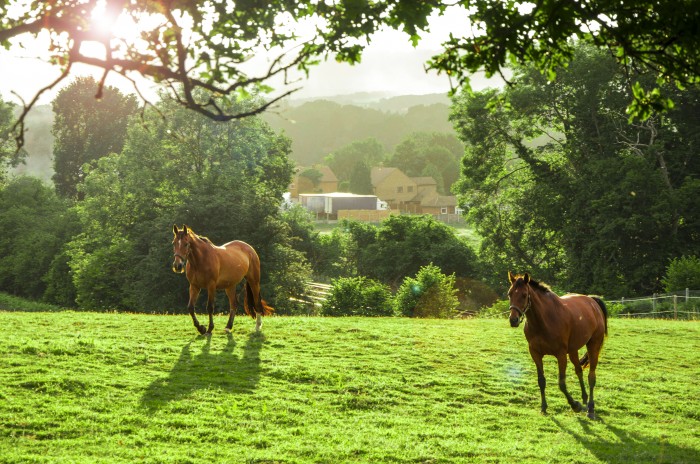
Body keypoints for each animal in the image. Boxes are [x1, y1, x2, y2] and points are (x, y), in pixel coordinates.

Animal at [508, 272, 608, 420]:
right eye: (509, 294)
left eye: (524, 295)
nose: (513, 320)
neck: (544, 320)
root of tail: (592, 301)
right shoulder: (535, 353)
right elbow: (541, 381)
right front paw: (543, 407)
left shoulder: (561, 355)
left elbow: (561, 384)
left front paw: (575, 405)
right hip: (573, 350)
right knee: (579, 371)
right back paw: (584, 399)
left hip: (593, 346)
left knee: (591, 377)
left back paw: (590, 408)